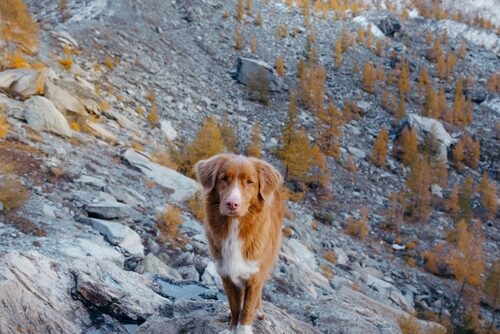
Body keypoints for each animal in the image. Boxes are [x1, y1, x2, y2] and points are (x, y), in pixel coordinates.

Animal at [195, 154, 284, 334]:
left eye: (249, 181)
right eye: (224, 178)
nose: (232, 204)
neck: (234, 227)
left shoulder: (255, 275)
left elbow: (247, 308)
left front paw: (243, 329)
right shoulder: (226, 274)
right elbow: (236, 306)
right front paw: (231, 328)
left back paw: (260, 311)